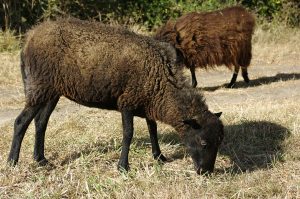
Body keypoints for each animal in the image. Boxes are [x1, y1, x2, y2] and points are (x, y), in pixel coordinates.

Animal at [7, 18, 224, 174]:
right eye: (204, 143)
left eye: (219, 142)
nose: (206, 172)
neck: (161, 85)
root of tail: (29, 38)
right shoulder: (127, 101)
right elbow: (128, 133)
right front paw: (123, 167)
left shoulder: (146, 102)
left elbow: (152, 129)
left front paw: (159, 156)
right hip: (39, 85)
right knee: (21, 122)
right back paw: (12, 162)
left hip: (52, 91)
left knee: (40, 123)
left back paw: (41, 159)